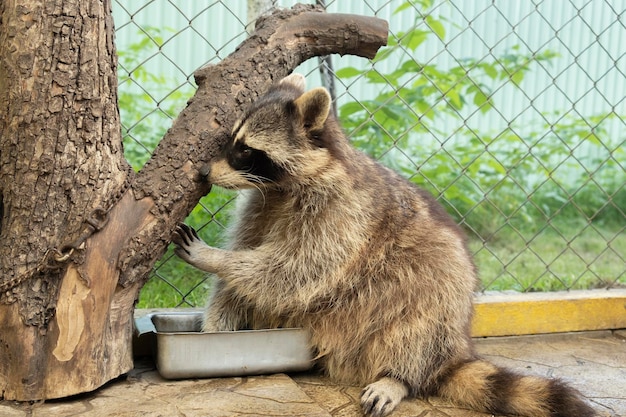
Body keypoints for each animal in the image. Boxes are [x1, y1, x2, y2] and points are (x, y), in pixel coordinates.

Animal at [172, 73, 596, 414]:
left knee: (415, 328)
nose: (205, 172)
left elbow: (298, 268)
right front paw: (215, 329)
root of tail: (455, 349)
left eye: (246, 150)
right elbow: (243, 280)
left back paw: (399, 376)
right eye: (231, 140)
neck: (283, 187)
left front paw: (216, 258)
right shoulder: (262, 205)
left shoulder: (343, 216)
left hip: (435, 291)